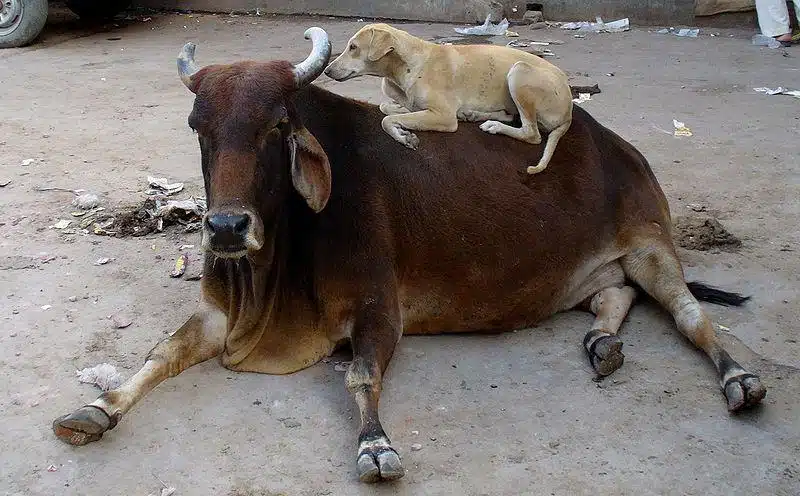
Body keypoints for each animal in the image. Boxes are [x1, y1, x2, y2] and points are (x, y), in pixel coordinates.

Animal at [324, 22, 576, 174]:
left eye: (353, 47)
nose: (326, 70)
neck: (406, 67)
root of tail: (569, 112)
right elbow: (387, 109)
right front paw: (402, 122)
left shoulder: (444, 117)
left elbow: (386, 120)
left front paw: (404, 136)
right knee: (511, 116)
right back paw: (474, 114)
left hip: (519, 71)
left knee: (531, 133)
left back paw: (493, 126)